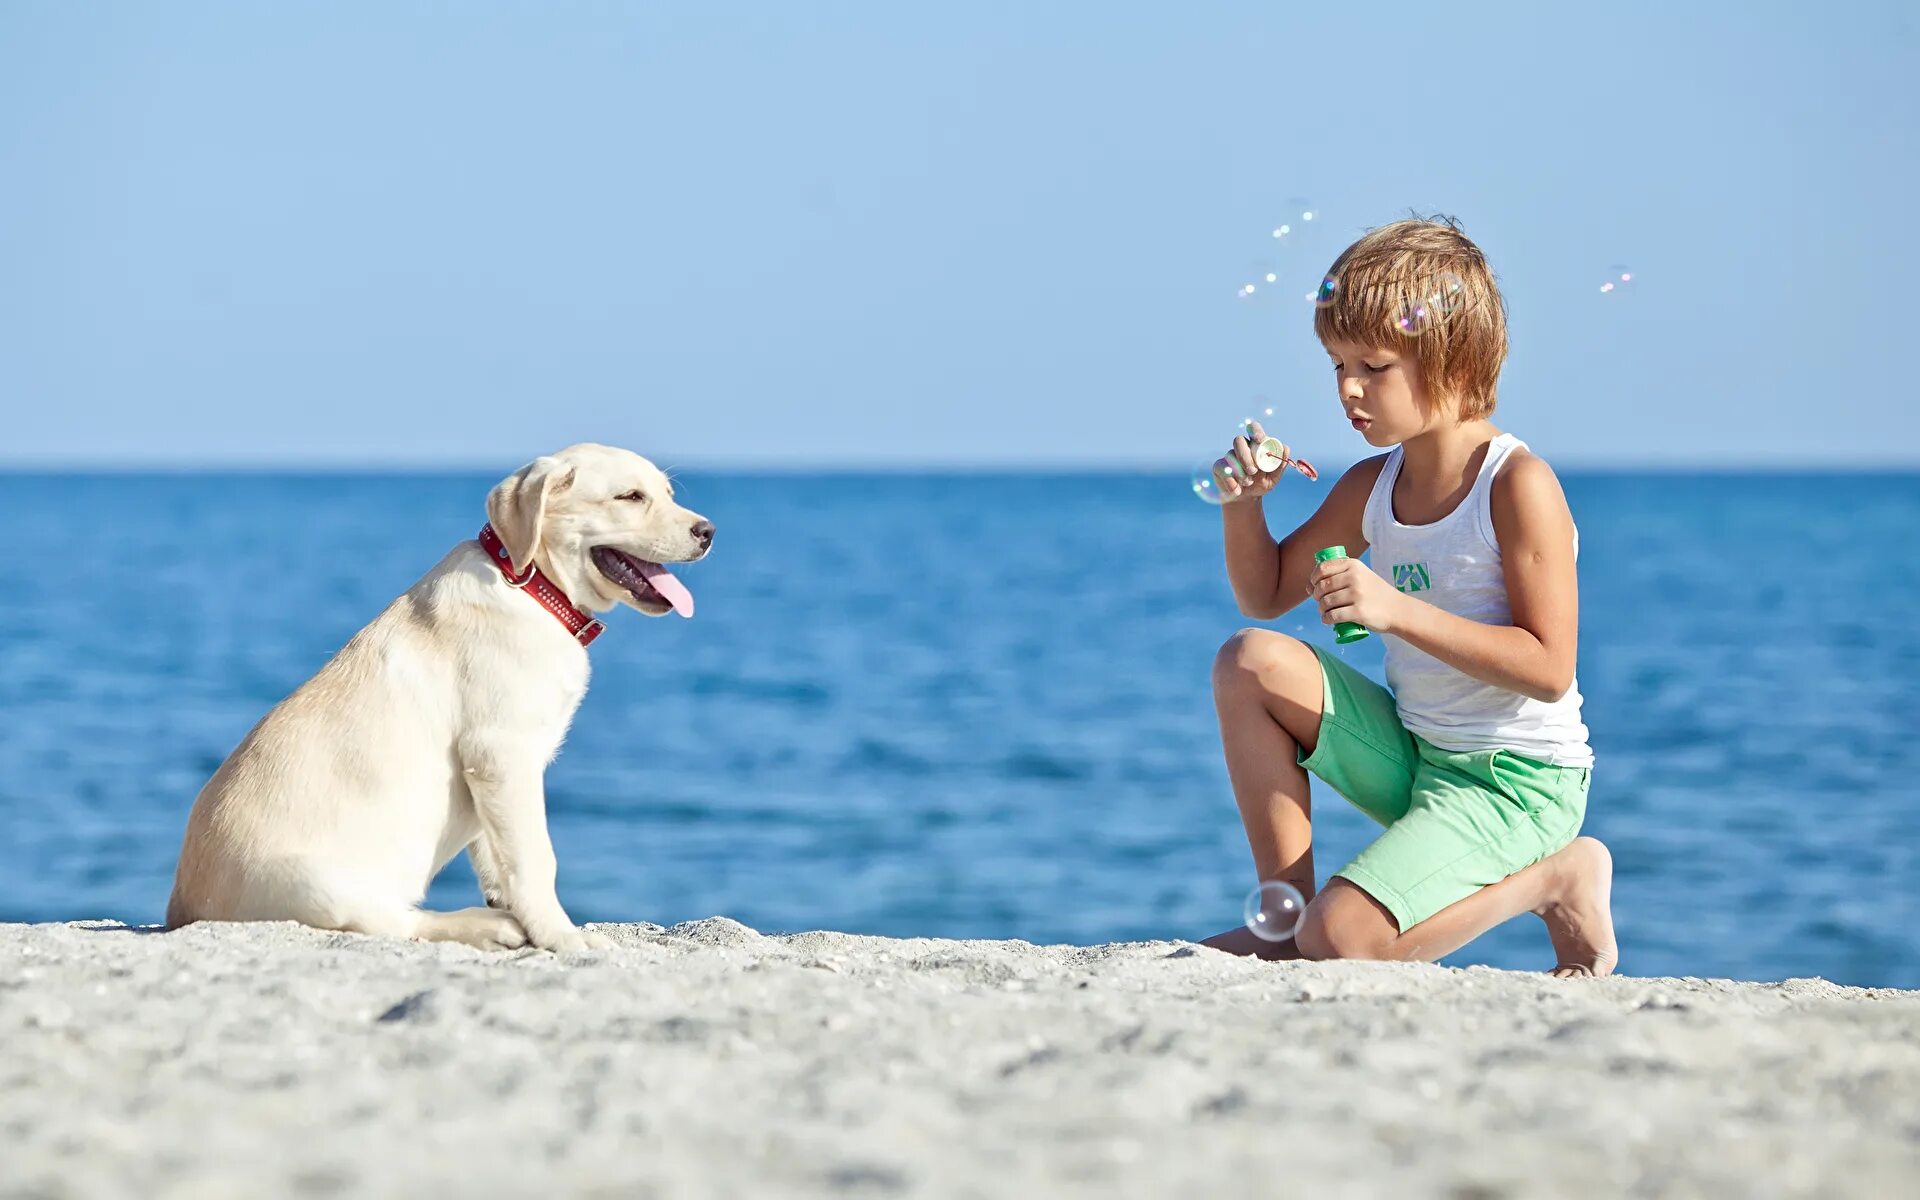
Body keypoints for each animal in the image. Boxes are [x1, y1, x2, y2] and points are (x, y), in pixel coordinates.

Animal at [167, 445, 714, 948]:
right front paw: (561, 936)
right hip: (318, 884)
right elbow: (536, 858)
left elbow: (499, 854)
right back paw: (485, 925)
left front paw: (519, 910)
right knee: (393, 920)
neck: (530, 585)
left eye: (668, 493)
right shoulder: (502, 752)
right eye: (631, 497)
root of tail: (179, 911)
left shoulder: (494, 772)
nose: (708, 532)